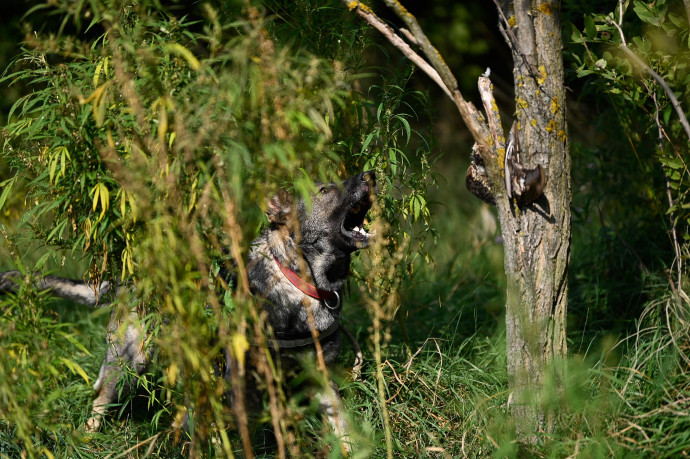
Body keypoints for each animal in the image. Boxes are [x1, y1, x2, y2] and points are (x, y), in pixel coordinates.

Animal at [0, 171, 374, 448]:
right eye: (325, 190)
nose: (369, 175)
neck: (301, 283)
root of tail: (131, 277)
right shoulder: (242, 386)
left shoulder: (321, 380)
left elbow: (343, 429)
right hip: (128, 360)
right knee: (100, 399)